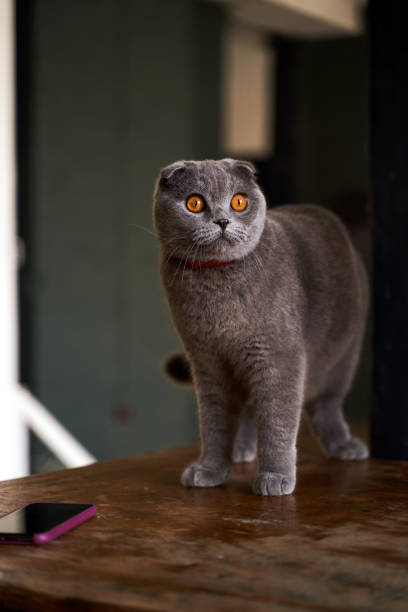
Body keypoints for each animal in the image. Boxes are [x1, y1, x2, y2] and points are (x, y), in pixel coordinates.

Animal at [153, 159, 370, 498]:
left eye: (239, 201)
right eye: (195, 203)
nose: (222, 220)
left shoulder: (279, 356)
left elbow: (277, 420)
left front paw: (275, 476)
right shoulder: (206, 361)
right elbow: (214, 423)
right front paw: (211, 469)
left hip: (344, 356)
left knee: (326, 405)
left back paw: (344, 445)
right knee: (246, 409)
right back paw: (240, 450)